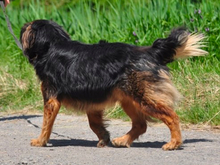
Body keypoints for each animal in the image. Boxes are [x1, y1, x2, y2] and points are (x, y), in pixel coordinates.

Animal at [19, 19, 207, 150]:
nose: (22, 26)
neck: (53, 45)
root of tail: (150, 52)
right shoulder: (92, 100)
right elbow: (94, 123)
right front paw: (104, 138)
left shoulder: (51, 100)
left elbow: (46, 124)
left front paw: (40, 141)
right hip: (129, 100)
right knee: (141, 124)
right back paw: (123, 140)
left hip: (144, 98)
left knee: (172, 117)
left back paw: (174, 143)